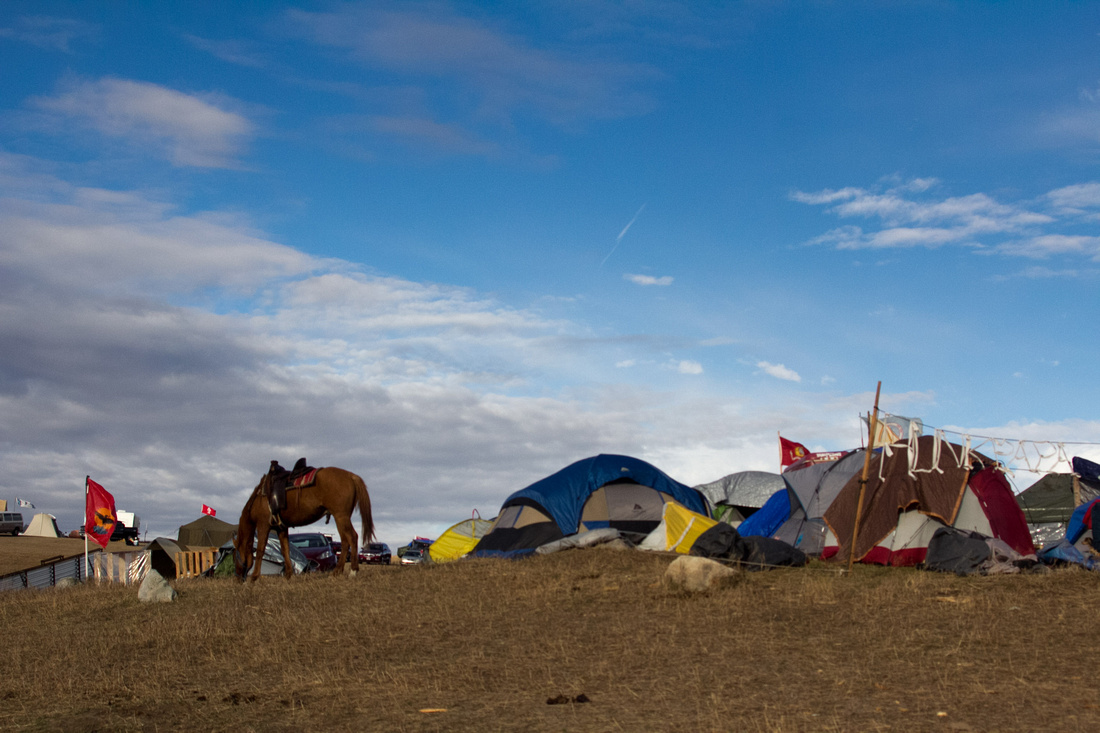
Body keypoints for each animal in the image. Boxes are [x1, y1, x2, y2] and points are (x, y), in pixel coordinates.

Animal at [232, 464, 374, 581]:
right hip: (341, 518)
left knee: (352, 537)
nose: (238, 578)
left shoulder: (263, 525)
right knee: (345, 541)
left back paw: (351, 571)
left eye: (235, 556)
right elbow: (285, 549)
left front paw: (254, 577)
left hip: (341, 517)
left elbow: (260, 550)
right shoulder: (281, 528)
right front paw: (288, 575)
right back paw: (337, 572)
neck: (258, 499)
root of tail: (351, 476)